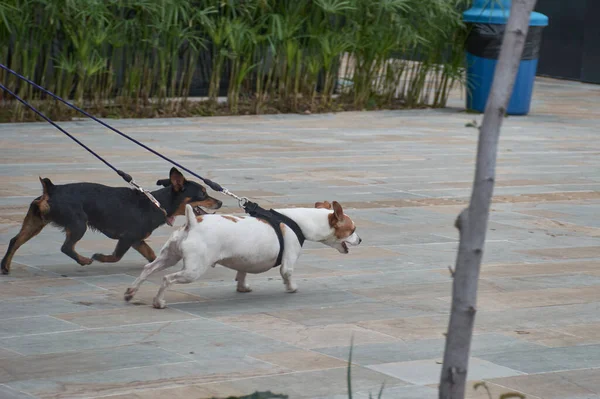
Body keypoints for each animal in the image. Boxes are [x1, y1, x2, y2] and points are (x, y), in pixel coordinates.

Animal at [1, 166, 221, 276]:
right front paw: (100, 257)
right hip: (78, 223)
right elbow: (116, 256)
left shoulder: (137, 240)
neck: (158, 203)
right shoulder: (127, 238)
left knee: (15, 241)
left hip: (35, 223)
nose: (219, 202)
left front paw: (156, 265)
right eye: (203, 194)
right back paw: (83, 260)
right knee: (66, 247)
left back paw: (5, 267)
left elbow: (150, 254)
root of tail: (51, 189)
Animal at [123, 200, 360, 310]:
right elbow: (287, 274)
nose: (361, 240)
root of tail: (193, 223)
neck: (299, 222)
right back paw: (158, 301)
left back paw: (131, 292)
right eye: (353, 229)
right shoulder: (289, 260)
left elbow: (242, 272)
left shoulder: (245, 260)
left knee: (148, 269)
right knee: (166, 279)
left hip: (169, 256)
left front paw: (242, 287)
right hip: (192, 270)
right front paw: (292, 288)